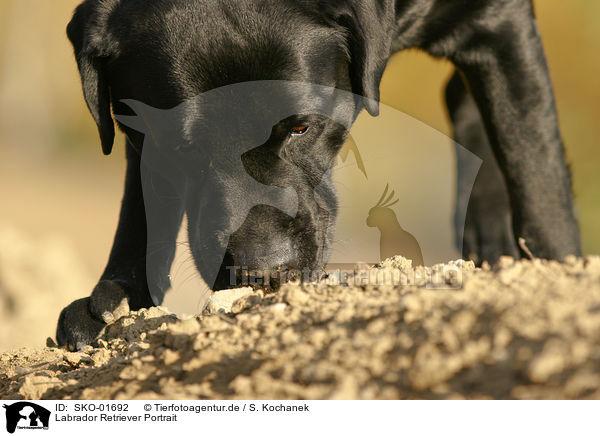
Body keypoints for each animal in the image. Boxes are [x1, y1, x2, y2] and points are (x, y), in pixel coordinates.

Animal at [57, 0, 580, 350]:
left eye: (301, 127)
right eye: (182, 146)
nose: (264, 269)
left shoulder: (498, 24)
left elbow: (536, 175)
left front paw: (560, 272)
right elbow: (141, 208)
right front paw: (115, 298)